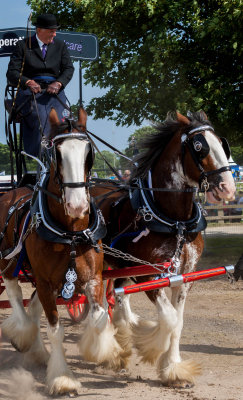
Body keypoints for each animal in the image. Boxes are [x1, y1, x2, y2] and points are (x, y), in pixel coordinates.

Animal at [0, 108, 123, 396]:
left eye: (88, 152)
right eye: (56, 153)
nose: (77, 205)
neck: (71, 234)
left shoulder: (93, 278)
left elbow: (99, 317)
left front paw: (104, 352)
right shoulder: (46, 284)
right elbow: (55, 330)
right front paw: (62, 378)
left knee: (31, 306)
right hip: (8, 263)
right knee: (14, 292)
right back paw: (22, 335)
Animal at [91, 111, 235, 390]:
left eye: (222, 144)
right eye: (199, 146)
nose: (228, 187)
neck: (174, 220)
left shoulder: (185, 276)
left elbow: (178, 322)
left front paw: (173, 369)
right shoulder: (149, 275)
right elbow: (168, 319)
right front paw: (151, 348)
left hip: (122, 267)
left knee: (118, 296)